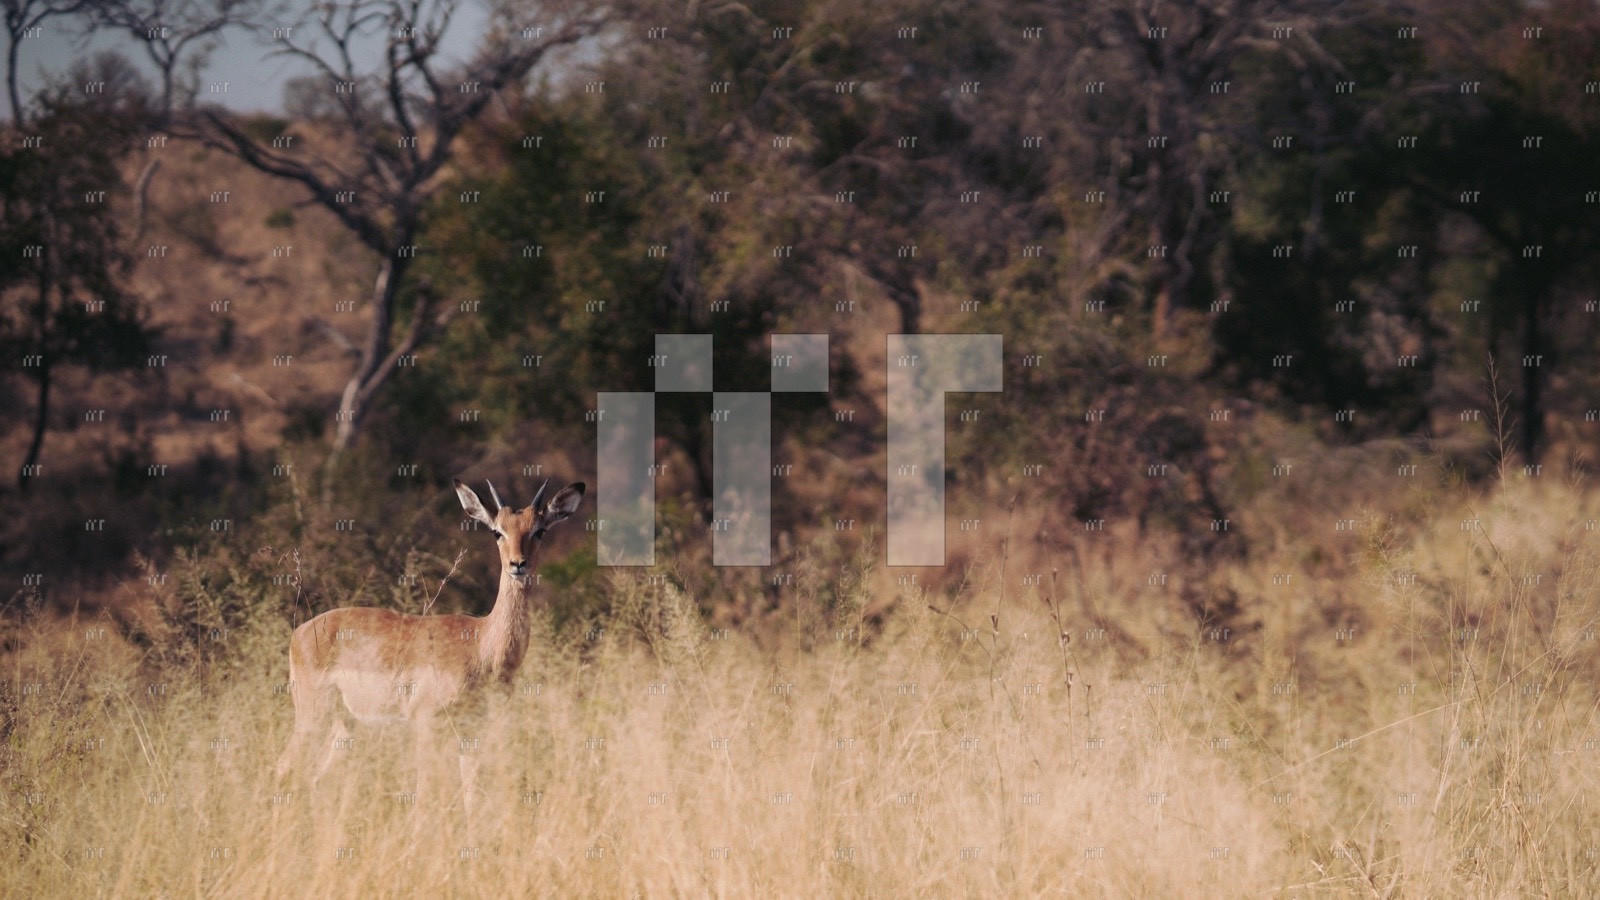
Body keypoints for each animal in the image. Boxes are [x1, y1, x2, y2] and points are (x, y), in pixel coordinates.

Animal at [274, 477, 585, 802]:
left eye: (539, 530)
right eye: (497, 531)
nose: (518, 564)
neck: (482, 647)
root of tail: (300, 632)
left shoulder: (472, 734)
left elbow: (471, 796)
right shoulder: (426, 723)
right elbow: (425, 793)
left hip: (346, 727)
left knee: (316, 778)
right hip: (312, 716)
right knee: (283, 767)